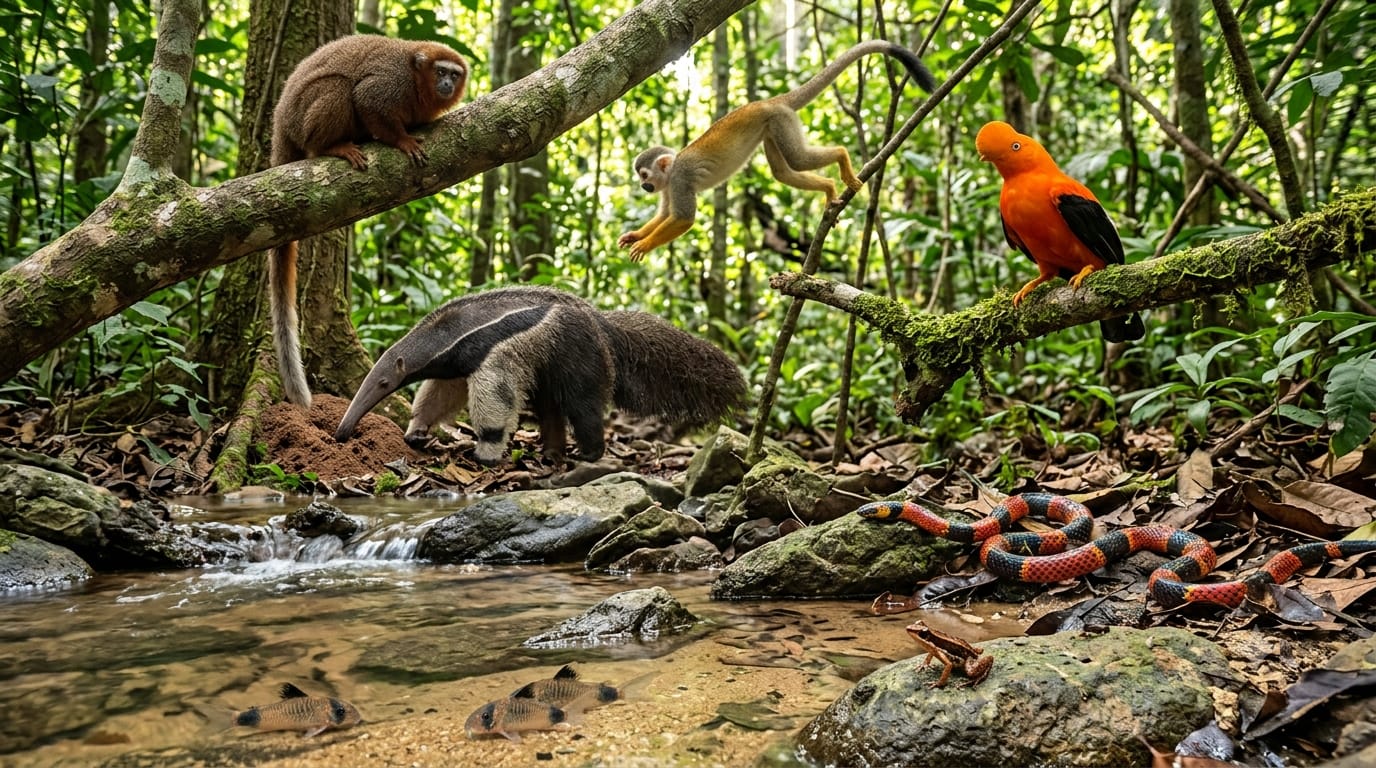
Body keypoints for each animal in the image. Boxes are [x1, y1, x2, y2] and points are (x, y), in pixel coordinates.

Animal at [268, 34, 470, 409]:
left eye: (454, 74)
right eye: (440, 72)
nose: (448, 85)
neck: (416, 80)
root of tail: (281, 123)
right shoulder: (392, 82)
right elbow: (366, 98)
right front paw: (401, 140)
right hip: (303, 119)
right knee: (337, 89)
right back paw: (330, 147)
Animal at [617, 40, 936, 261]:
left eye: (644, 175)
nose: (645, 186)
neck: (670, 173)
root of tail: (769, 101)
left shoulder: (680, 178)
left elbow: (683, 218)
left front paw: (645, 243)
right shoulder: (669, 186)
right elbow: (665, 215)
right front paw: (635, 235)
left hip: (781, 120)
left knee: (798, 158)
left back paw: (841, 158)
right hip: (772, 128)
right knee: (782, 171)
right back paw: (829, 188)